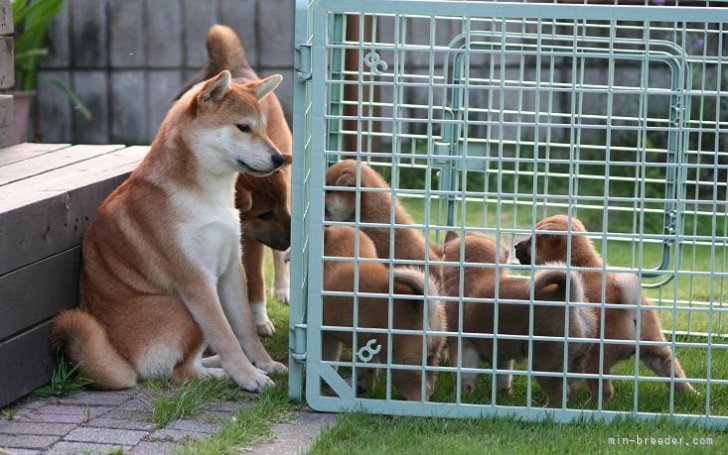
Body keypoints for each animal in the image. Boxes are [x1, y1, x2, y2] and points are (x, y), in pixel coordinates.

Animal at [52, 69, 288, 394]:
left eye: (264, 129)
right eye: (243, 127)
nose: (279, 158)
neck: (208, 197)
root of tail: (123, 359)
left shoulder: (231, 268)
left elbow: (244, 330)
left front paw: (264, 363)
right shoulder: (197, 281)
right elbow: (226, 336)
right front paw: (249, 376)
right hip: (181, 310)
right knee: (180, 372)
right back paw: (223, 374)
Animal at [322, 226, 446, 400]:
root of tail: (424, 308)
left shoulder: (327, 334)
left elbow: (329, 358)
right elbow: (366, 369)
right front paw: (361, 387)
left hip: (402, 362)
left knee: (417, 390)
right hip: (431, 358)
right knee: (428, 385)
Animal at [440, 233, 596, 408]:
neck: (473, 276)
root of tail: (570, 297)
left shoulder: (463, 347)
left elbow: (464, 376)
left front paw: (461, 395)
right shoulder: (501, 356)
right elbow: (502, 377)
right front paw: (502, 393)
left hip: (544, 363)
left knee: (559, 392)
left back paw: (546, 407)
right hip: (576, 360)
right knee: (573, 386)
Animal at [512, 216, 692, 400]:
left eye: (532, 240)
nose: (516, 246)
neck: (578, 262)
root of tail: (629, 310)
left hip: (594, 359)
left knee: (604, 391)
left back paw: (590, 403)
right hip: (656, 349)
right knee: (674, 374)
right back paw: (691, 394)